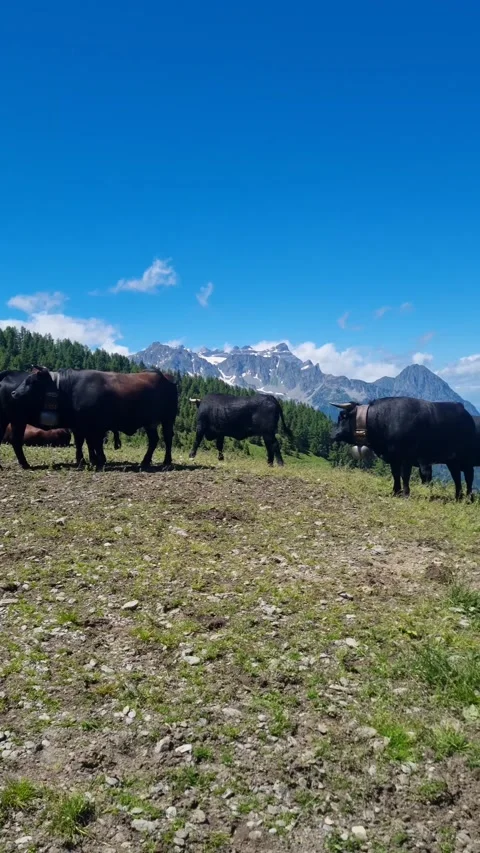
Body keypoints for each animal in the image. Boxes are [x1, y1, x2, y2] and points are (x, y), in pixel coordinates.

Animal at [8, 367, 178, 471]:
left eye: (32, 381)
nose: (14, 393)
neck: (70, 388)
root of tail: (165, 377)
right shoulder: (82, 426)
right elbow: (88, 443)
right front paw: (92, 460)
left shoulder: (95, 426)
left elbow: (95, 443)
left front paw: (99, 460)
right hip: (150, 422)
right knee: (154, 440)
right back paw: (145, 461)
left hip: (167, 419)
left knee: (167, 439)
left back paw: (166, 462)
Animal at [331, 397, 477, 500]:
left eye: (342, 416)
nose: (333, 434)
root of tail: (465, 412)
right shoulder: (394, 457)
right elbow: (395, 474)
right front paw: (396, 491)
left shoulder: (406, 457)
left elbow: (404, 475)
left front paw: (406, 493)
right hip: (452, 460)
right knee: (456, 477)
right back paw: (458, 497)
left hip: (467, 458)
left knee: (469, 477)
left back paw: (468, 498)